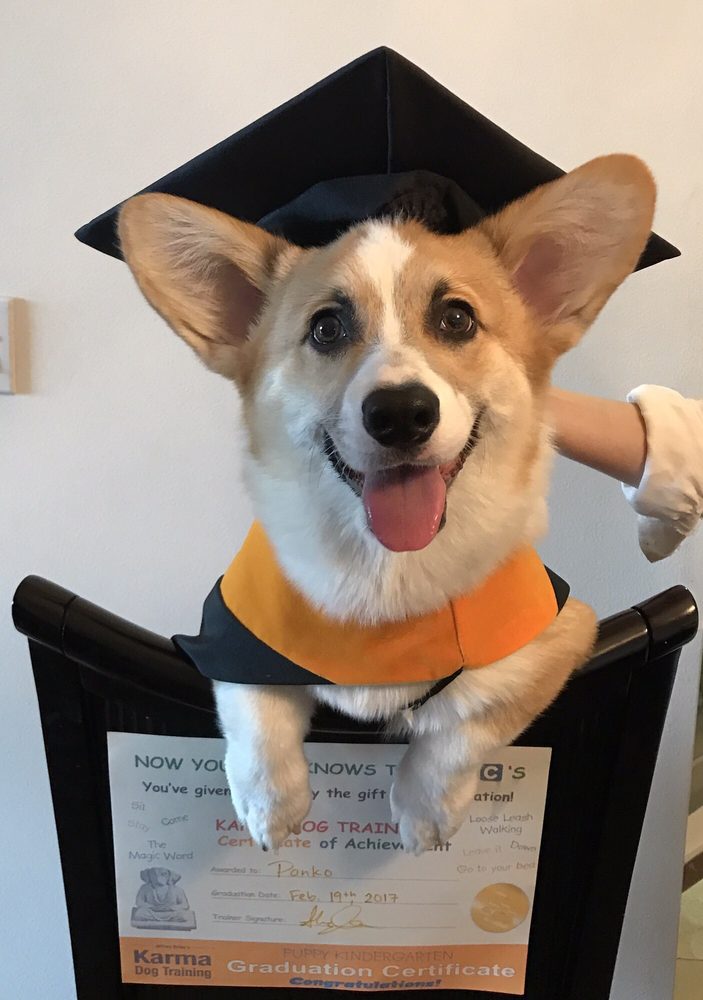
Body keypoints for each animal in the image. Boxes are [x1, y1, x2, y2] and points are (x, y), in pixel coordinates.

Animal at [117, 154, 660, 852]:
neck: (386, 571)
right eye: (326, 328)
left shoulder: (562, 633)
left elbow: (468, 724)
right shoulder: (227, 628)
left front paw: (424, 810)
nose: (401, 413)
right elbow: (252, 702)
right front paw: (270, 805)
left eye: (457, 318)